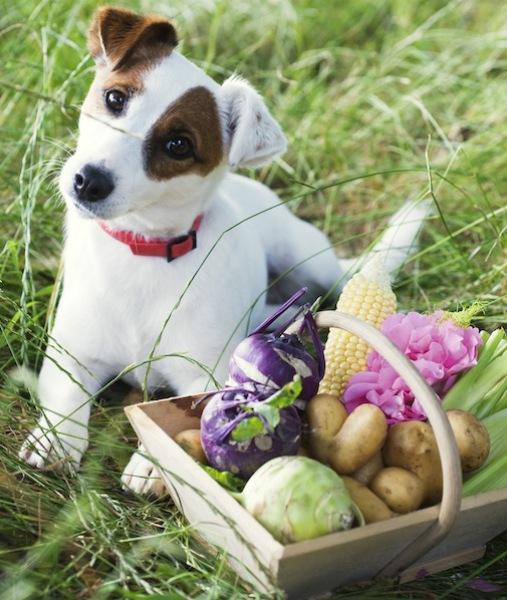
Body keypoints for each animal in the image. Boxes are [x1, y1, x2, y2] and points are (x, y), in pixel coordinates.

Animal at [18, 7, 428, 494]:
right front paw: (54, 439)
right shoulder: (73, 353)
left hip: (308, 260)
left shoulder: (204, 371)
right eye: (114, 98)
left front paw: (154, 463)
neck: (145, 250)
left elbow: (187, 412)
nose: (88, 181)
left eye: (178, 145)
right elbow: (65, 395)